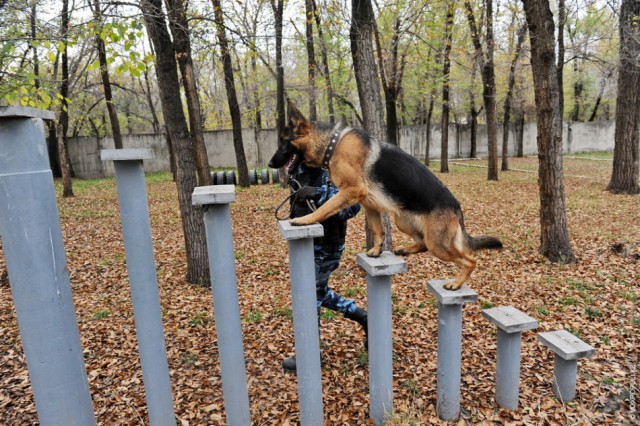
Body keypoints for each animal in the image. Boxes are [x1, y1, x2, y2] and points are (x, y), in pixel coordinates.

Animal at [268, 101, 502, 292]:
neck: (333, 145)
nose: (270, 164)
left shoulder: (352, 191)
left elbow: (324, 208)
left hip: (437, 243)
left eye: (283, 142)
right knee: (423, 244)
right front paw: (376, 250)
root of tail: (457, 207)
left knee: (469, 260)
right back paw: (406, 249)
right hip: (404, 222)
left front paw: (305, 219)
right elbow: (377, 230)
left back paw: (456, 283)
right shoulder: (369, 204)